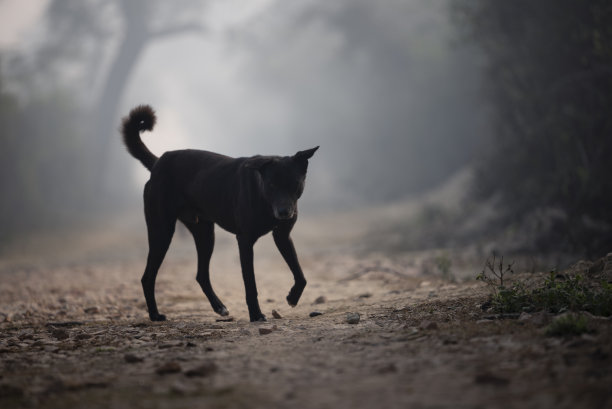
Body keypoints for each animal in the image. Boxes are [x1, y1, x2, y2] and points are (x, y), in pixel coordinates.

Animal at [121, 103, 318, 320]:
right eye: (272, 185)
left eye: (294, 184)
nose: (283, 213)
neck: (263, 197)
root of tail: (158, 162)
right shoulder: (245, 240)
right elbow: (250, 283)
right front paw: (256, 315)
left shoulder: (282, 236)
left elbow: (300, 275)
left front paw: (292, 297)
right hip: (162, 232)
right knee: (147, 277)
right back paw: (155, 315)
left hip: (205, 233)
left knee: (201, 275)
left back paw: (219, 307)